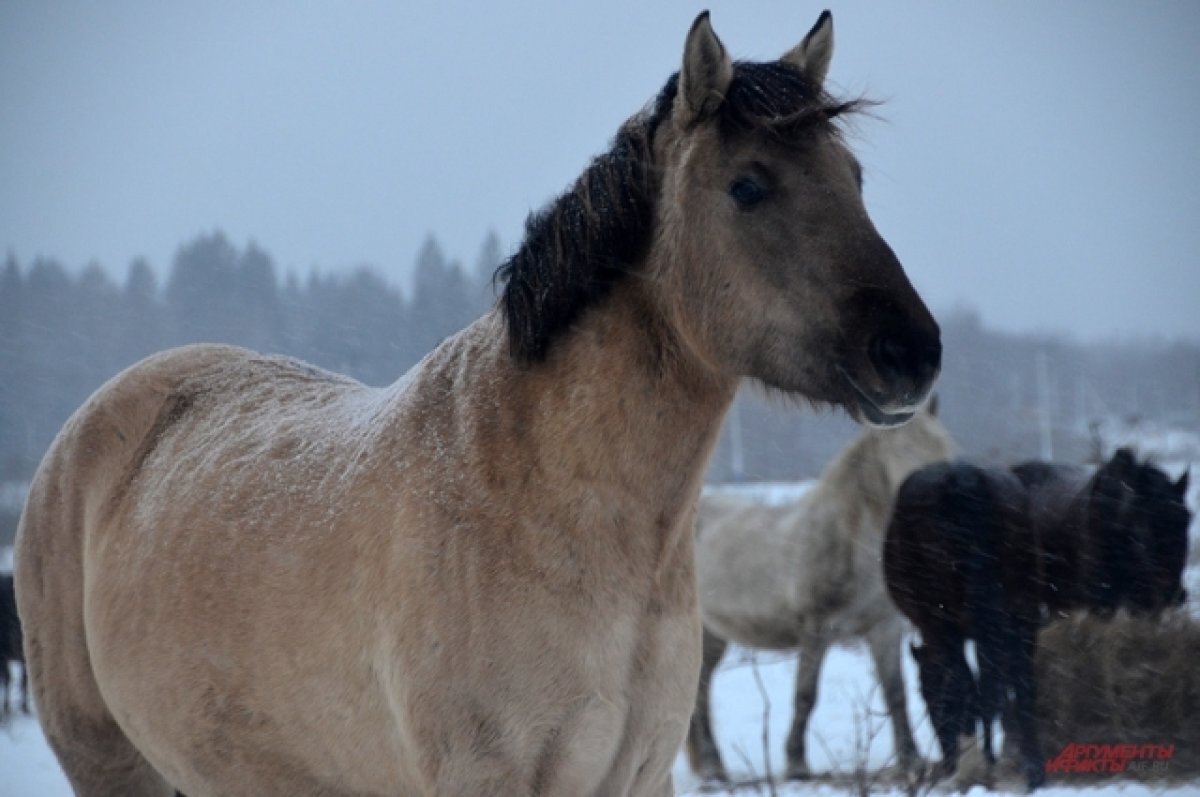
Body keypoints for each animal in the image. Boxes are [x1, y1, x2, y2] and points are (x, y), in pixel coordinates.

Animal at [691, 396, 950, 782]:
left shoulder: (884, 628)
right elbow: (805, 695)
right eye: (903, 450)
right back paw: (710, 767)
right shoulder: (816, 629)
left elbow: (896, 693)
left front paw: (912, 762)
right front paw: (796, 764)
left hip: (714, 636)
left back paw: (714, 767)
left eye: (943, 445)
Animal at [883, 460, 1041, 792]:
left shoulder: (939, 629)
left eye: (926, 697)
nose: (947, 758)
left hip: (947, 624)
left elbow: (958, 685)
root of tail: (965, 478)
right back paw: (1031, 771)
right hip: (1021, 615)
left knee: (972, 684)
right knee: (1020, 683)